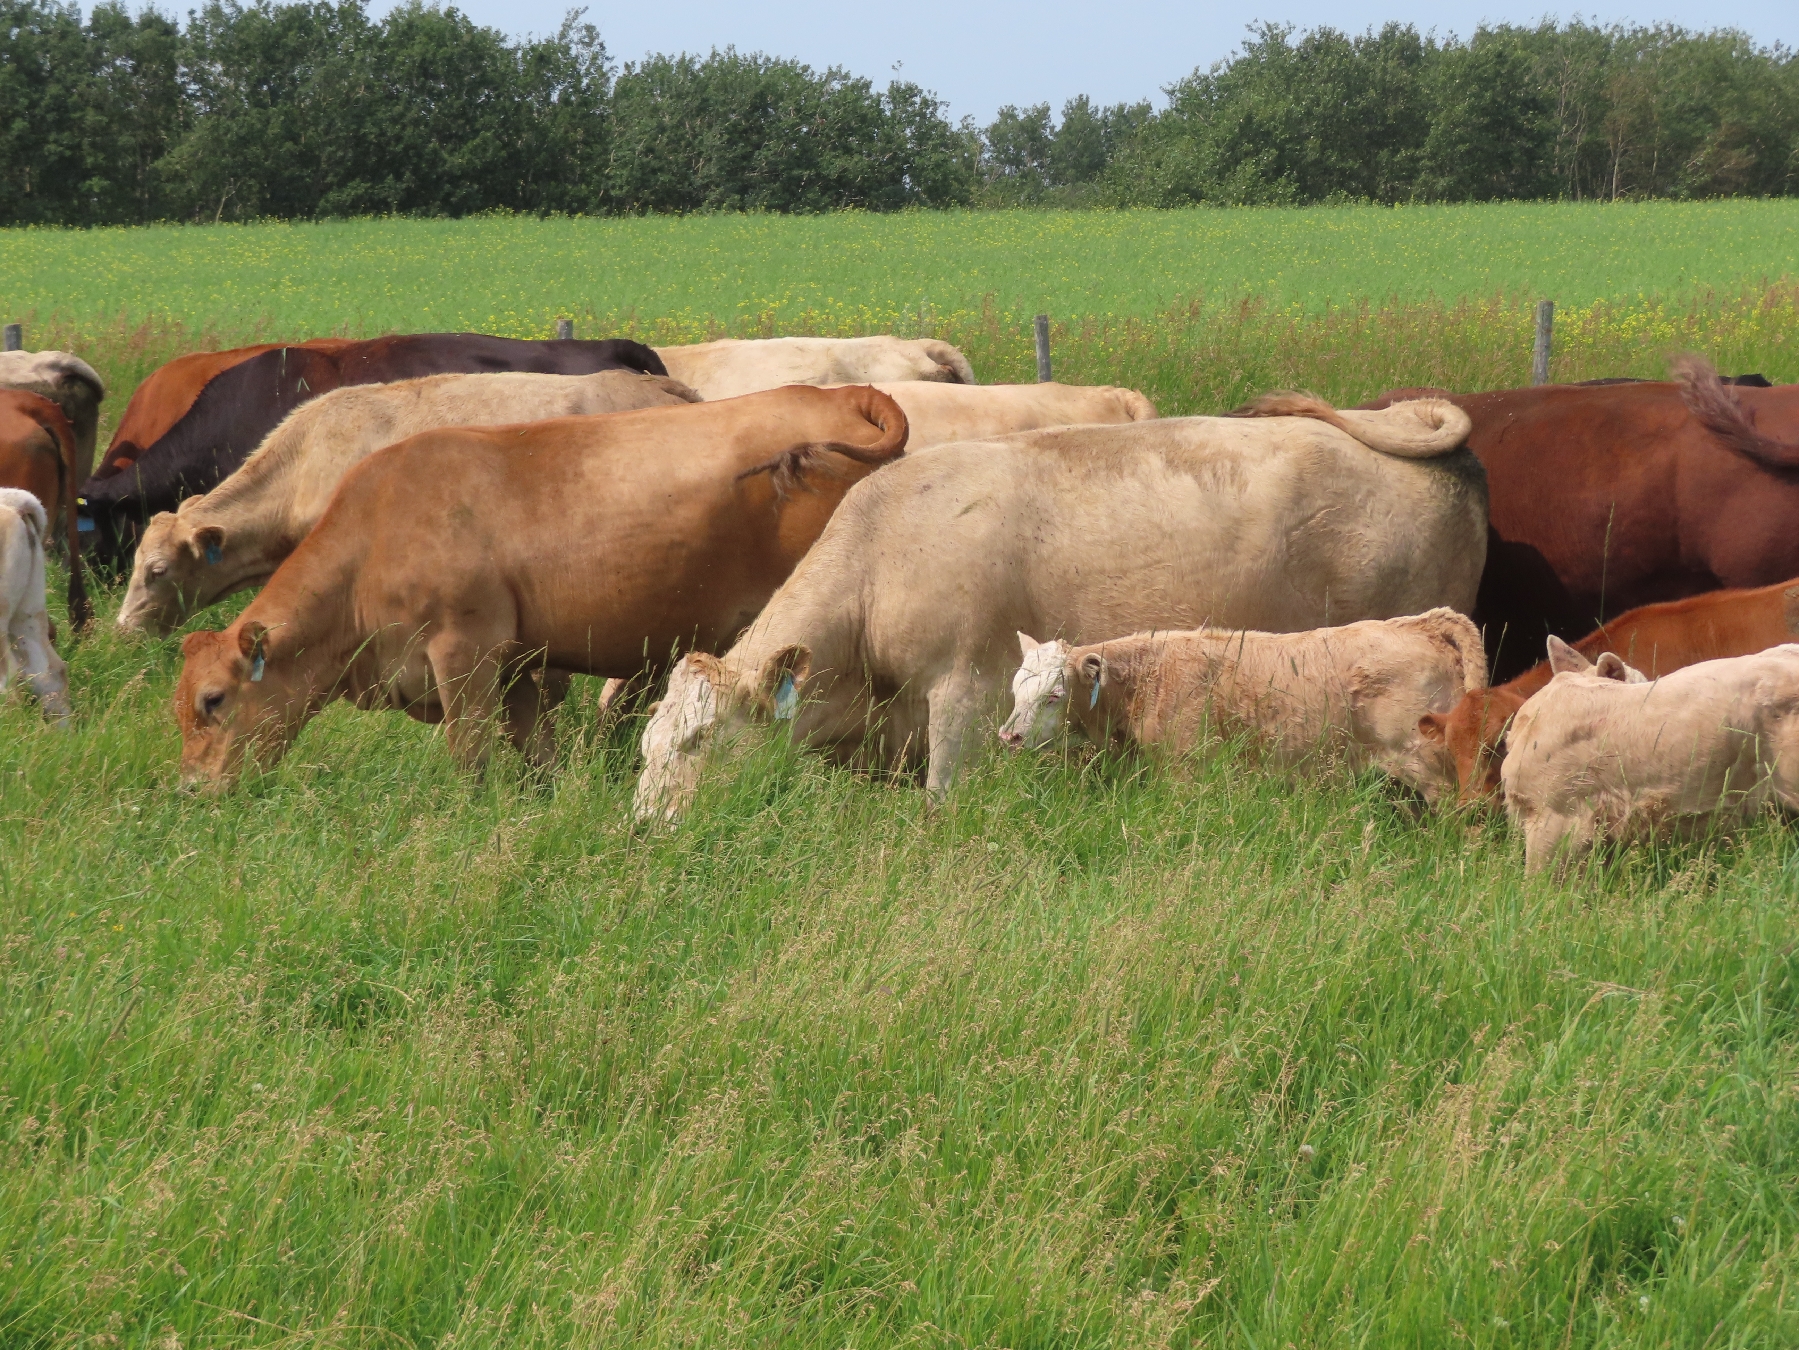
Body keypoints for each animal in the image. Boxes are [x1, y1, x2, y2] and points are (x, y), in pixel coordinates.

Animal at [171, 385, 908, 790]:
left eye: (214, 700)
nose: (189, 791)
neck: (376, 532)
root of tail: (840, 393)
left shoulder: (463, 655)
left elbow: (470, 758)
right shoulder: (518, 668)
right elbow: (536, 760)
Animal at [998, 610, 1486, 802]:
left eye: (1054, 695)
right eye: (1017, 689)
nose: (1009, 736)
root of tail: (1420, 623)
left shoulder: (1190, 772)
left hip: (1432, 767)